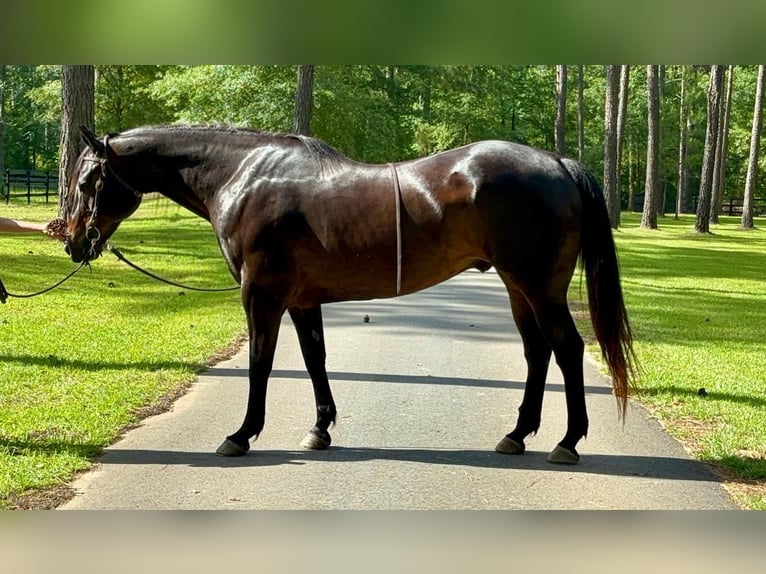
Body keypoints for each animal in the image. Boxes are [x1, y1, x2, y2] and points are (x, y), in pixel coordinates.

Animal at [61, 124, 636, 464]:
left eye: (88, 181)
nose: (72, 241)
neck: (243, 175)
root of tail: (557, 163)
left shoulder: (261, 296)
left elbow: (260, 364)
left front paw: (242, 434)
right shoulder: (300, 300)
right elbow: (314, 358)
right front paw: (320, 429)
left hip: (539, 287)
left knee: (568, 349)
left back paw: (567, 441)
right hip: (518, 287)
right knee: (538, 352)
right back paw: (518, 435)